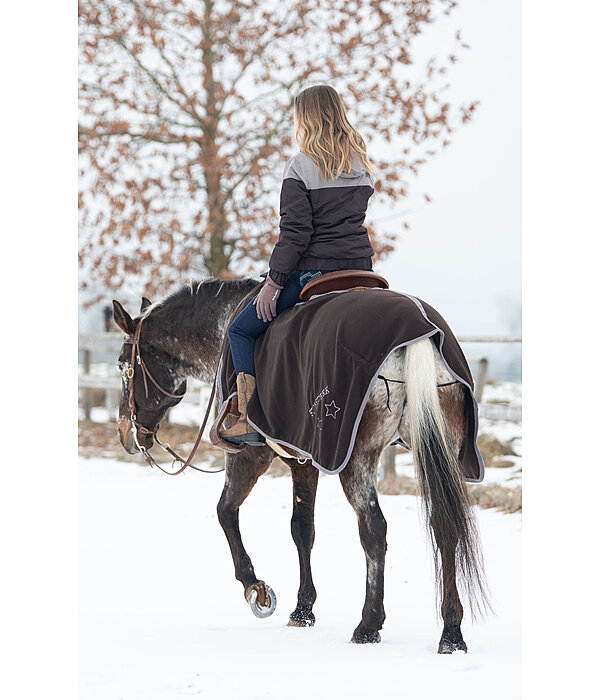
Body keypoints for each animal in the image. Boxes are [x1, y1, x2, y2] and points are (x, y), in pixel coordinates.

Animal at [112, 277, 489, 652]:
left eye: (121, 365)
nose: (126, 434)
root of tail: (417, 333)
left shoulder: (249, 455)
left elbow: (226, 512)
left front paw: (256, 588)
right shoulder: (303, 460)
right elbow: (302, 528)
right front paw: (303, 608)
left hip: (359, 459)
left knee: (373, 529)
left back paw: (368, 624)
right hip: (438, 450)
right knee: (444, 525)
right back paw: (451, 632)